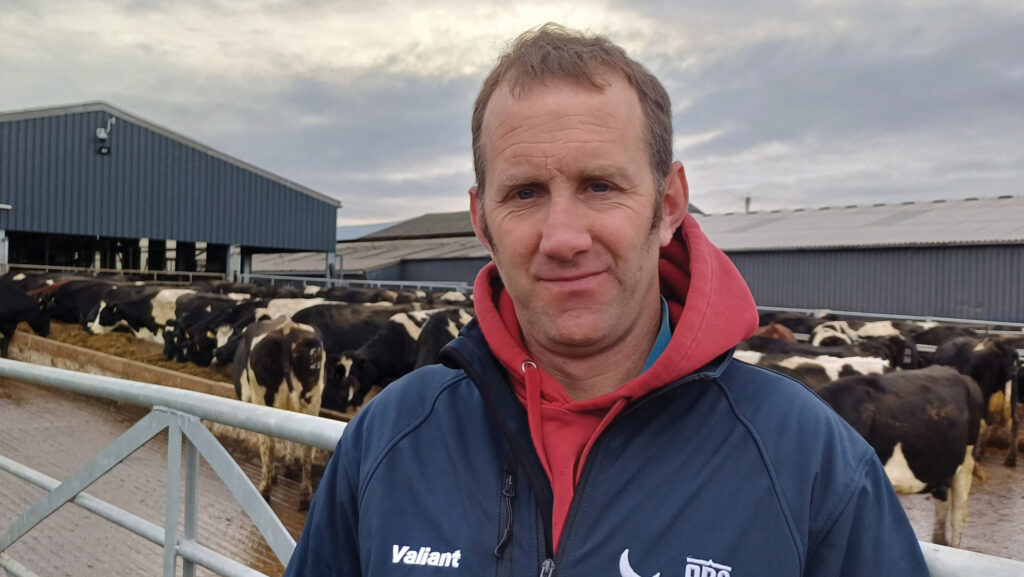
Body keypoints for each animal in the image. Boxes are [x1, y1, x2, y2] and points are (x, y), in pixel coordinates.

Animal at [233, 315, 325, 510]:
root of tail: (288, 330)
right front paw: (289, 466)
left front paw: (274, 474)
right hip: (313, 402)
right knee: (307, 450)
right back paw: (305, 496)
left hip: (262, 402)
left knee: (268, 445)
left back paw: (265, 490)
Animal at [933, 336, 1019, 467]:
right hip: (1011, 389)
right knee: (1013, 422)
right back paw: (1010, 458)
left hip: (984, 391)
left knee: (984, 423)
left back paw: (977, 455)